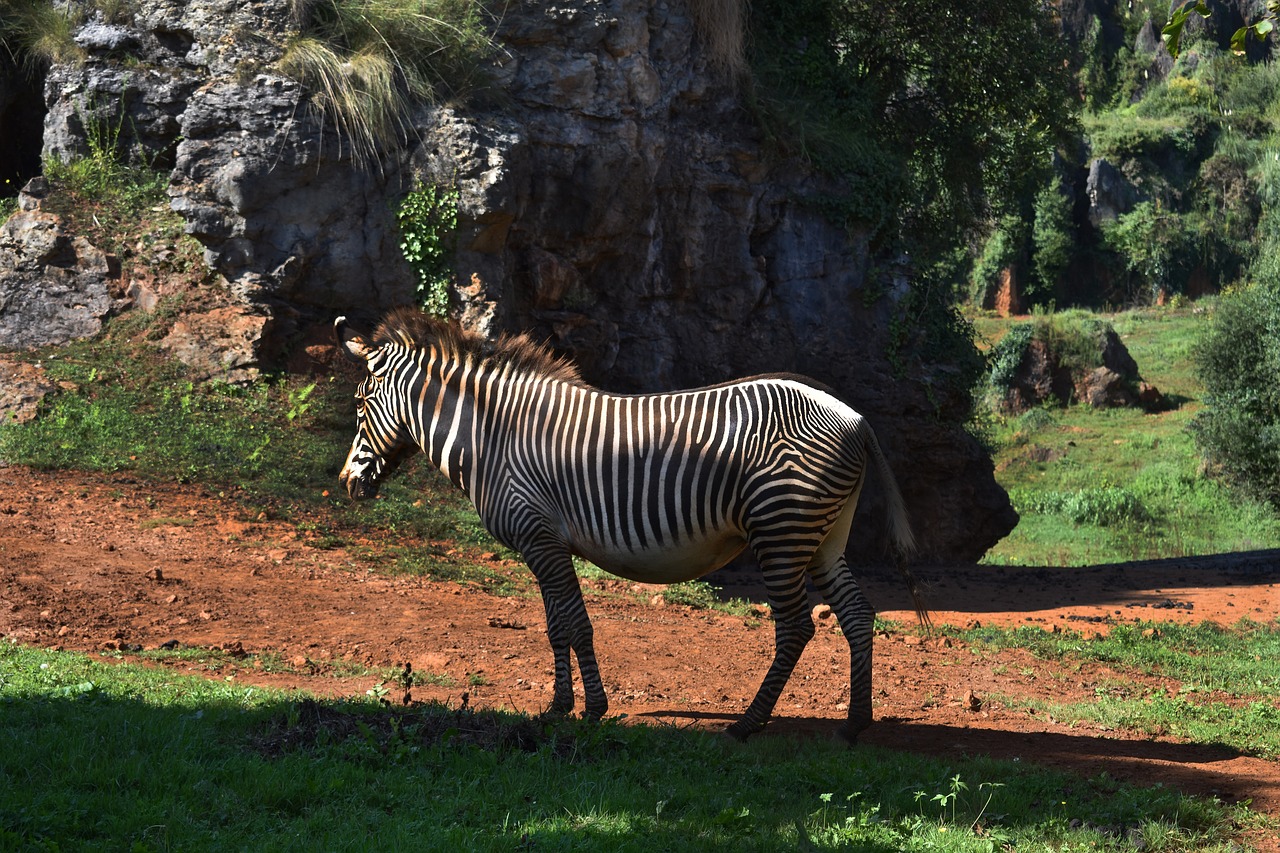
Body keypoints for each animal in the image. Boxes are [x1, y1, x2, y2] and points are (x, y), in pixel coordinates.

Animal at [335, 308, 926, 742]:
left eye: (362, 402)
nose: (347, 483)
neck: (494, 439)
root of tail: (854, 416)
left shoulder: (540, 538)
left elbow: (573, 624)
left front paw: (588, 708)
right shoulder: (544, 544)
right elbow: (558, 625)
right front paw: (560, 706)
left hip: (782, 530)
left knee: (797, 627)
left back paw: (748, 724)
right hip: (823, 536)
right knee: (857, 614)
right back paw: (855, 724)